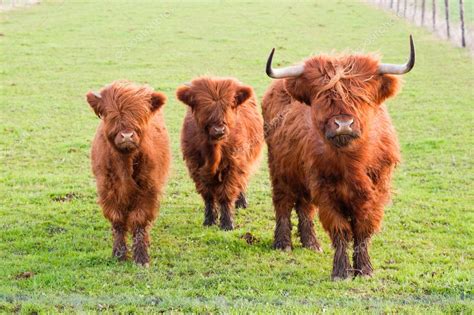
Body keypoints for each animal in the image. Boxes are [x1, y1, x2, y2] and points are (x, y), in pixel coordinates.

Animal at [86, 80, 170, 266]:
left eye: (140, 114)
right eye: (110, 114)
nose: (126, 136)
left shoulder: (148, 190)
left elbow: (139, 221)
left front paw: (141, 257)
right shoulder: (107, 190)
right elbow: (117, 221)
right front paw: (119, 254)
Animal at [178, 76, 264, 230]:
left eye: (230, 105)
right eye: (202, 106)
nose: (219, 130)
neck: (214, 150)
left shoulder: (233, 165)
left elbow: (226, 194)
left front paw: (227, 223)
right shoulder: (195, 165)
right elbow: (207, 195)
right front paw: (209, 220)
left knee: (241, 182)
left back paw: (241, 202)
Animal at [262, 37, 414, 282]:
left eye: (361, 97)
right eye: (323, 97)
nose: (343, 124)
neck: (352, 163)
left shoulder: (375, 192)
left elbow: (363, 230)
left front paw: (364, 270)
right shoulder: (326, 192)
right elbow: (341, 230)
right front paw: (342, 272)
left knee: (304, 206)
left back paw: (311, 243)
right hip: (280, 169)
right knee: (283, 203)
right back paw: (283, 243)